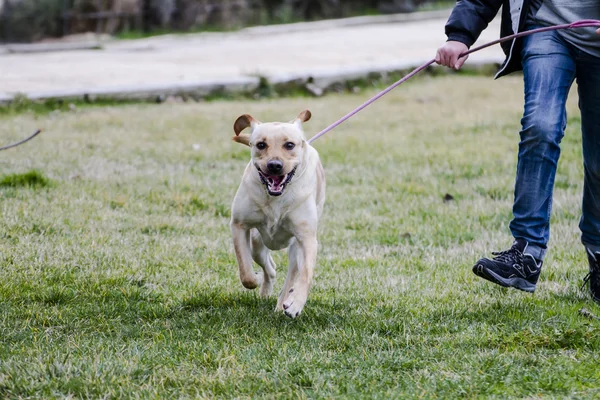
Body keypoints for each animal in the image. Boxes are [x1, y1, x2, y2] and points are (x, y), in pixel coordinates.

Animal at [230, 109, 326, 318]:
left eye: (289, 145)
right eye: (261, 144)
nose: (274, 165)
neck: (275, 197)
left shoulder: (306, 238)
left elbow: (305, 274)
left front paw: (296, 303)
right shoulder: (239, 225)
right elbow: (245, 271)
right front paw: (255, 280)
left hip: (294, 248)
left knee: (291, 275)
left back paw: (283, 303)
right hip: (257, 242)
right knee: (270, 268)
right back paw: (266, 289)